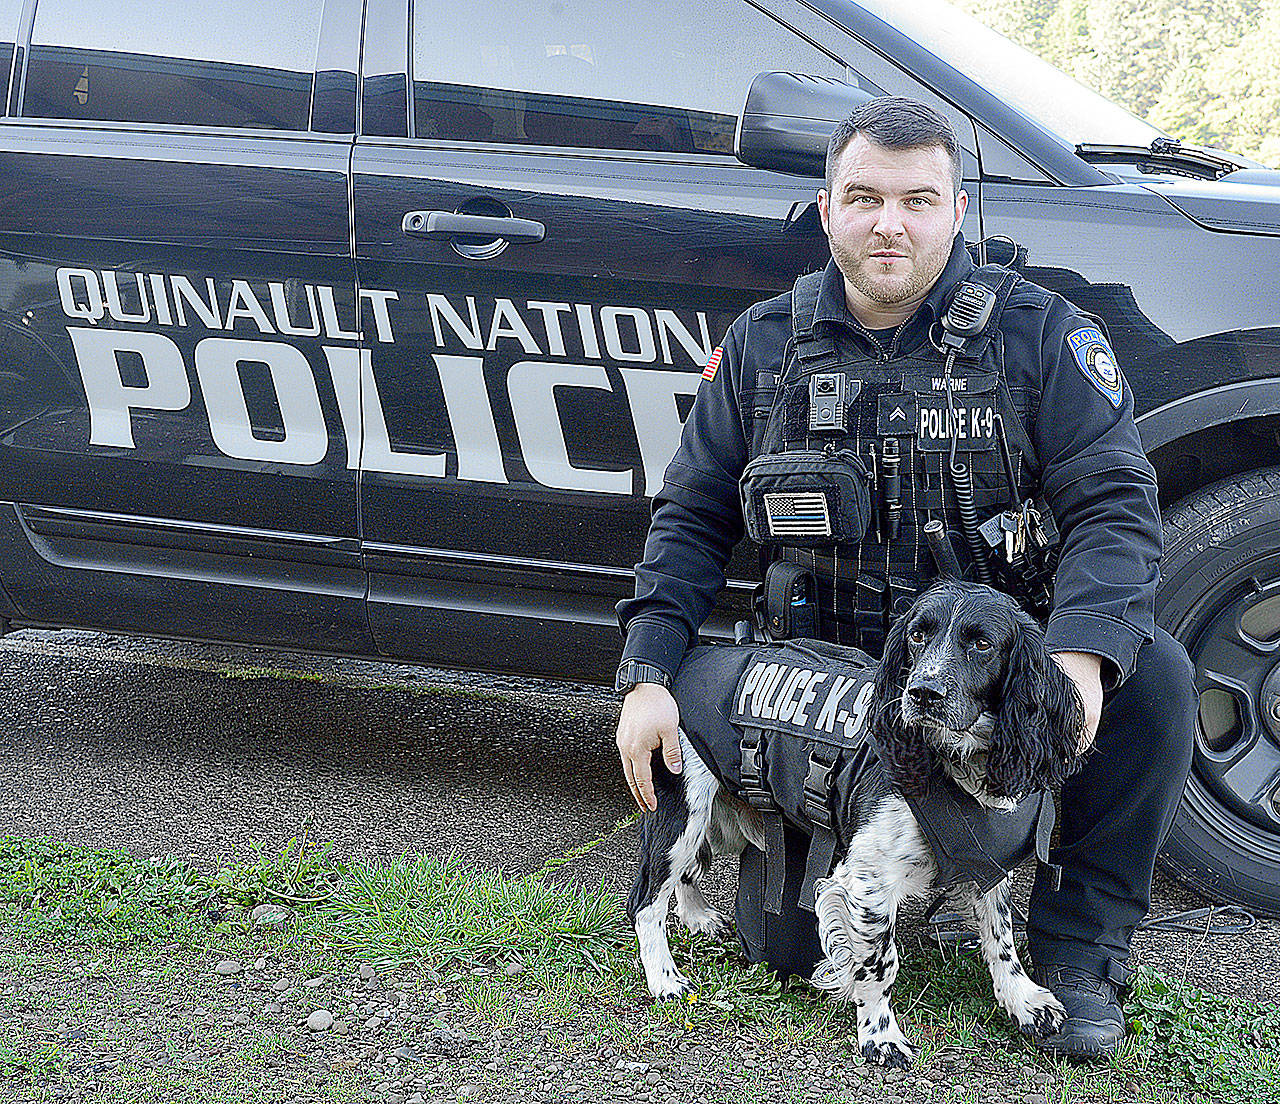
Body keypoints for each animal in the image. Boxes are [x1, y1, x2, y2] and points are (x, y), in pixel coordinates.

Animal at [624, 584, 1085, 1065]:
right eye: (917, 636)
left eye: (981, 644)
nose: (923, 693)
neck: (953, 762)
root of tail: (684, 660)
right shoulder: (869, 880)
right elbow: (880, 964)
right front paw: (880, 1034)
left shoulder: (986, 865)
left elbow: (1002, 939)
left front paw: (1024, 1002)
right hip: (682, 808)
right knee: (645, 900)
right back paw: (664, 979)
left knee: (685, 873)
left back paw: (697, 916)